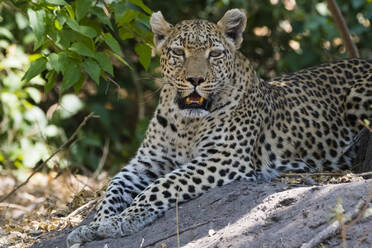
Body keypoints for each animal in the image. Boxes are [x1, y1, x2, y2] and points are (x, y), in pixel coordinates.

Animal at [67, 8, 372, 247]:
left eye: (214, 54)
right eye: (178, 52)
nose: (195, 79)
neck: (186, 123)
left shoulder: (224, 158)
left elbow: (162, 185)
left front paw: (122, 220)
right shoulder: (147, 162)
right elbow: (113, 187)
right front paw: (96, 224)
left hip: (359, 95)